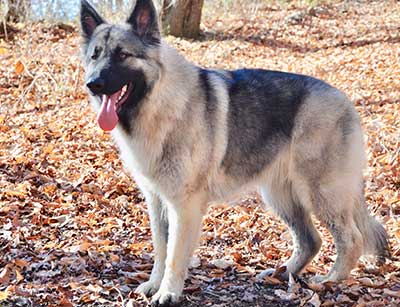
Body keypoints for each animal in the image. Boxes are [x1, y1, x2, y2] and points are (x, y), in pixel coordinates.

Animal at [79, 0, 390, 306]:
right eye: (95, 56)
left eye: (122, 55)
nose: (93, 83)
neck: (161, 103)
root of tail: (345, 101)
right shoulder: (157, 202)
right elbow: (161, 249)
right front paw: (154, 285)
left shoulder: (184, 207)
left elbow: (174, 256)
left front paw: (168, 293)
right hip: (281, 197)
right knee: (311, 240)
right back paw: (283, 272)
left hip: (320, 193)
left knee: (350, 239)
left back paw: (330, 281)